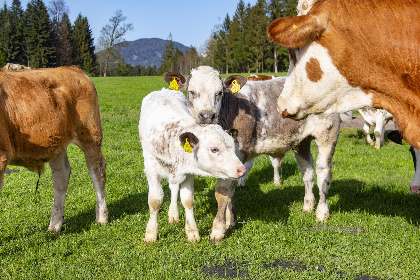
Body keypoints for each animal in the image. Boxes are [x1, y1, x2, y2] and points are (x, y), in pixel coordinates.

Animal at [0, 65, 108, 232]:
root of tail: (72, 68)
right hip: (56, 143)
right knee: (61, 177)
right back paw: (55, 225)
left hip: (91, 135)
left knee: (98, 172)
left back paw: (102, 218)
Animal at [139, 89, 246, 243]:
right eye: (214, 149)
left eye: (233, 146)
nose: (241, 169)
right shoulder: (151, 167)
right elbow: (155, 200)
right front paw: (151, 233)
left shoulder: (188, 172)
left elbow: (188, 200)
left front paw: (192, 232)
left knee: (174, 189)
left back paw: (173, 213)